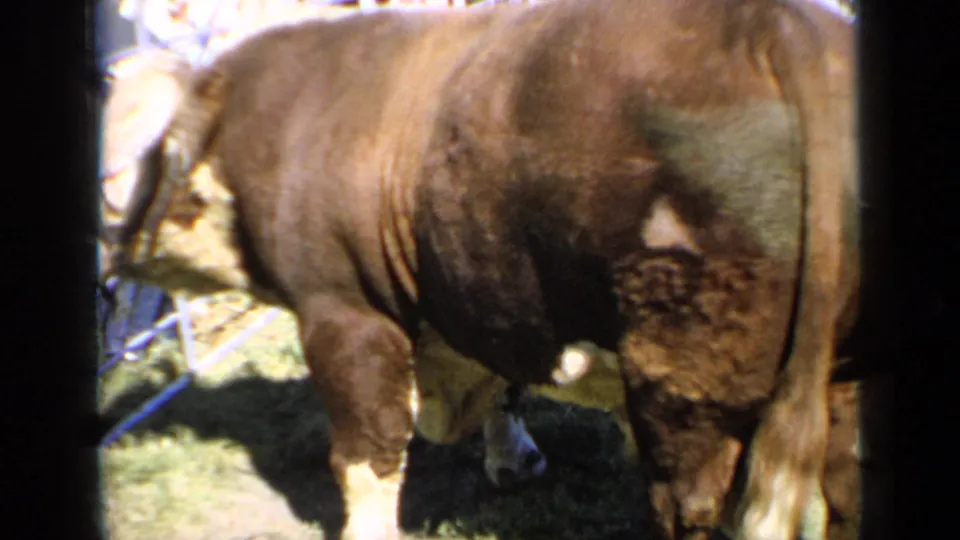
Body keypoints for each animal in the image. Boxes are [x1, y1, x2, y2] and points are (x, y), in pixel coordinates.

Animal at [99, 0, 857, 538]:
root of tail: (783, 26)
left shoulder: (344, 313)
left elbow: (366, 458)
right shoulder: (486, 297)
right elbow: (505, 387)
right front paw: (512, 458)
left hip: (683, 385)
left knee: (691, 505)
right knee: (846, 485)